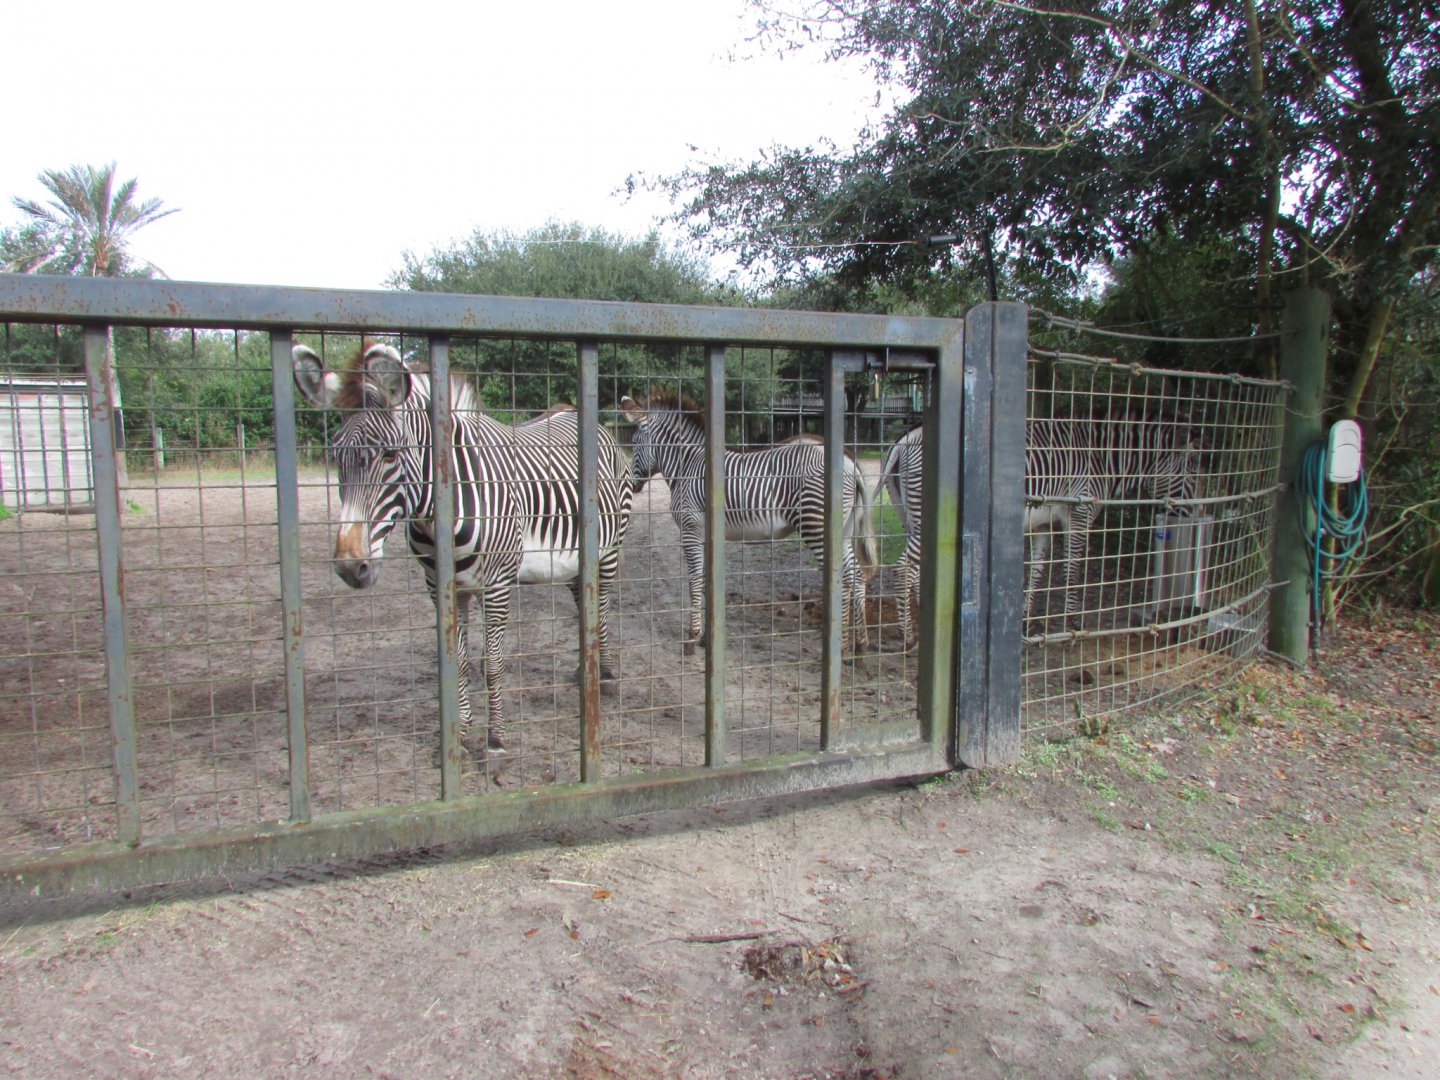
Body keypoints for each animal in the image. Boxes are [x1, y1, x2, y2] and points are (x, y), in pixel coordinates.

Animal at [293, 342, 633, 754]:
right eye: (336, 456)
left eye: (390, 454)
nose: (349, 566)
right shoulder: (443, 586)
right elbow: (457, 661)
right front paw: (462, 733)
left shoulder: (497, 584)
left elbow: (493, 664)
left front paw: (496, 739)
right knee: (584, 606)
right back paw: (584, 669)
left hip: (609, 549)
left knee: (601, 607)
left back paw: (604, 675)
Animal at [619, 391, 878, 654]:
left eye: (634, 442)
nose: (633, 485)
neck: (689, 467)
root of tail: (848, 460)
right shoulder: (705, 533)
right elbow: (706, 582)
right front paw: (706, 638)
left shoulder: (691, 529)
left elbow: (694, 581)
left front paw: (691, 638)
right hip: (844, 529)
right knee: (856, 576)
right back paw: (860, 644)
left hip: (816, 526)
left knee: (844, 577)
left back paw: (842, 647)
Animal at [879, 417, 1199, 646]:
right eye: (1193, 471)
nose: (1193, 512)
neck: (1102, 459)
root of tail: (904, 440)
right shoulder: (1079, 515)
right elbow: (1072, 569)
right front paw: (1073, 626)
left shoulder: (1042, 524)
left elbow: (1037, 570)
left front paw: (1024, 619)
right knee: (902, 568)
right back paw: (908, 636)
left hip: (909, 515)